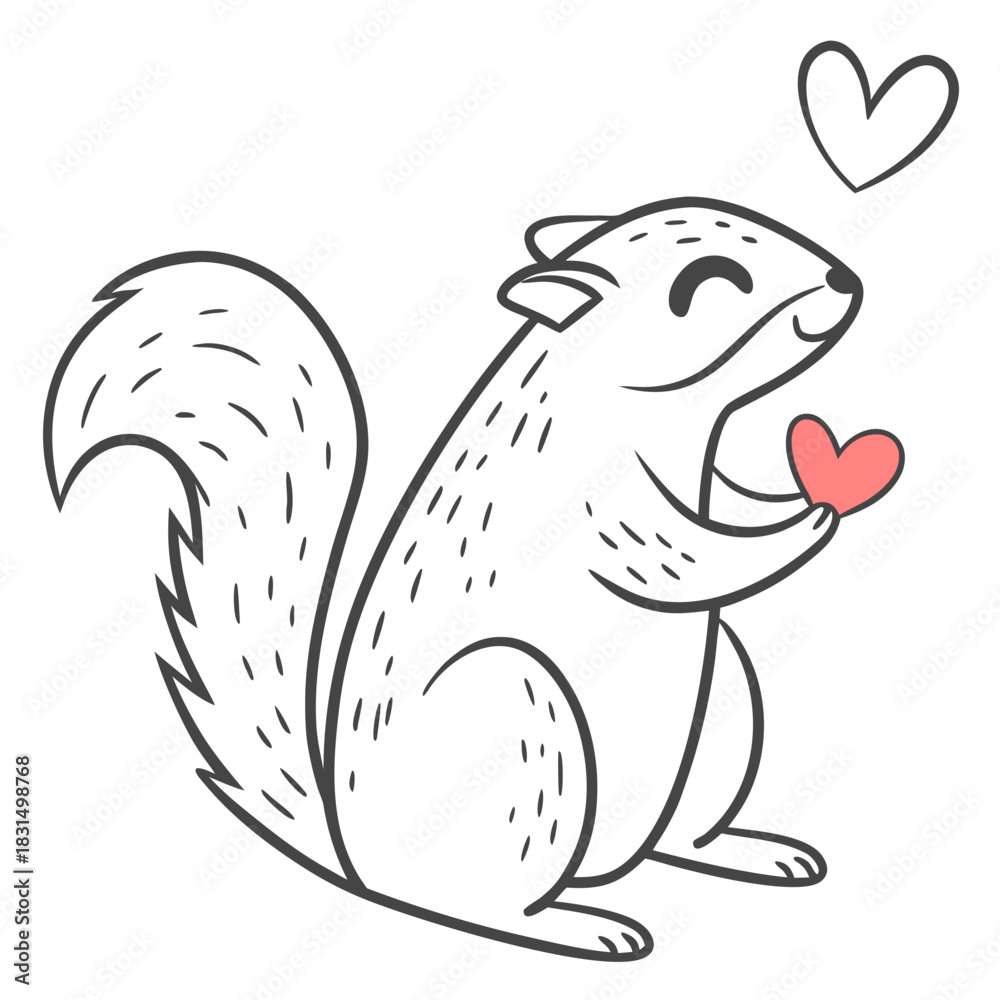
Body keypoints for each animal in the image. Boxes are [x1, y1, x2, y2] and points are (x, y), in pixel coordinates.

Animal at [44, 196, 866, 961]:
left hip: (723, 691)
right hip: (522, 716)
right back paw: (572, 923)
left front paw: (802, 493)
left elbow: (724, 511)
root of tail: (353, 856)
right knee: (478, 904)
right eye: (709, 282)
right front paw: (811, 518)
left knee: (679, 839)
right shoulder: (602, 503)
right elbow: (672, 554)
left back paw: (741, 850)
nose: (845, 281)